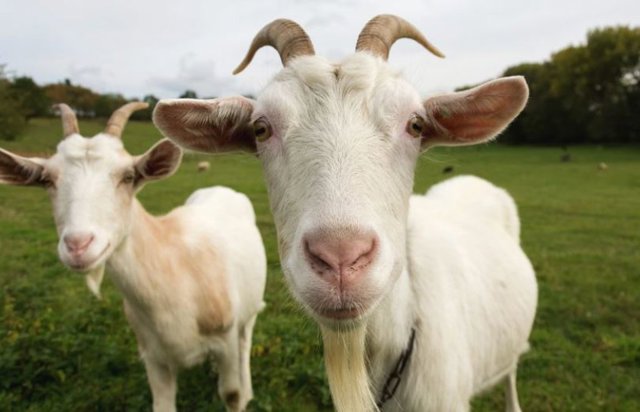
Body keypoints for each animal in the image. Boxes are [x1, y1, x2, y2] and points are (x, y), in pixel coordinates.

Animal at [0, 103, 267, 412]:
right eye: (47, 180)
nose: (78, 245)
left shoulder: (224, 341)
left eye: (128, 177)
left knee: (245, 340)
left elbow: (231, 394)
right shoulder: (153, 357)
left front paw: (240, 394)